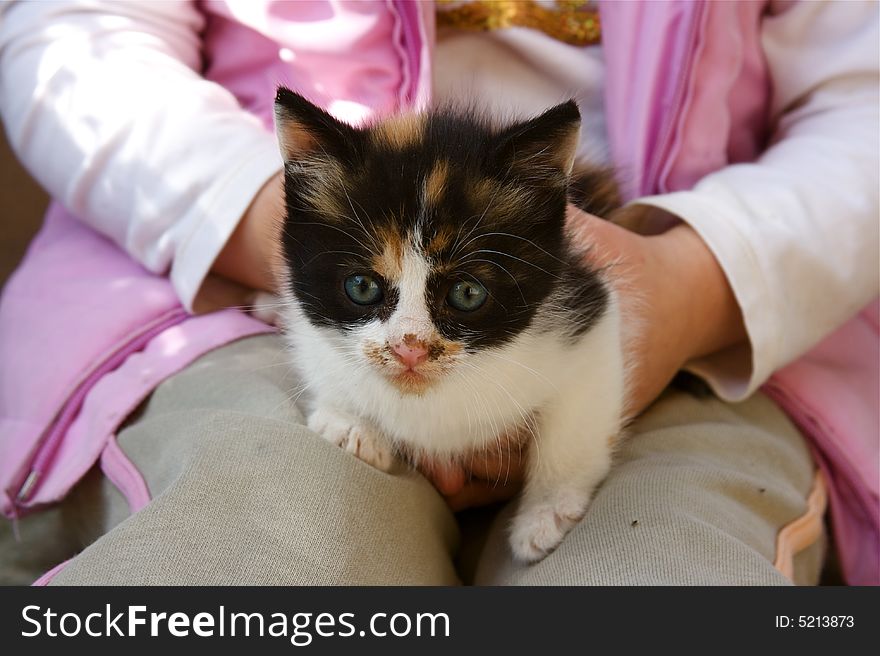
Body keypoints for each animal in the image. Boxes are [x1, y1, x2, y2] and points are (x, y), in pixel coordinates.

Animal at [274, 86, 624, 560]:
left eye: (467, 293)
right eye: (362, 286)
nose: (410, 348)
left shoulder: (589, 315)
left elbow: (573, 426)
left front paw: (545, 514)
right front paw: (348, 422)